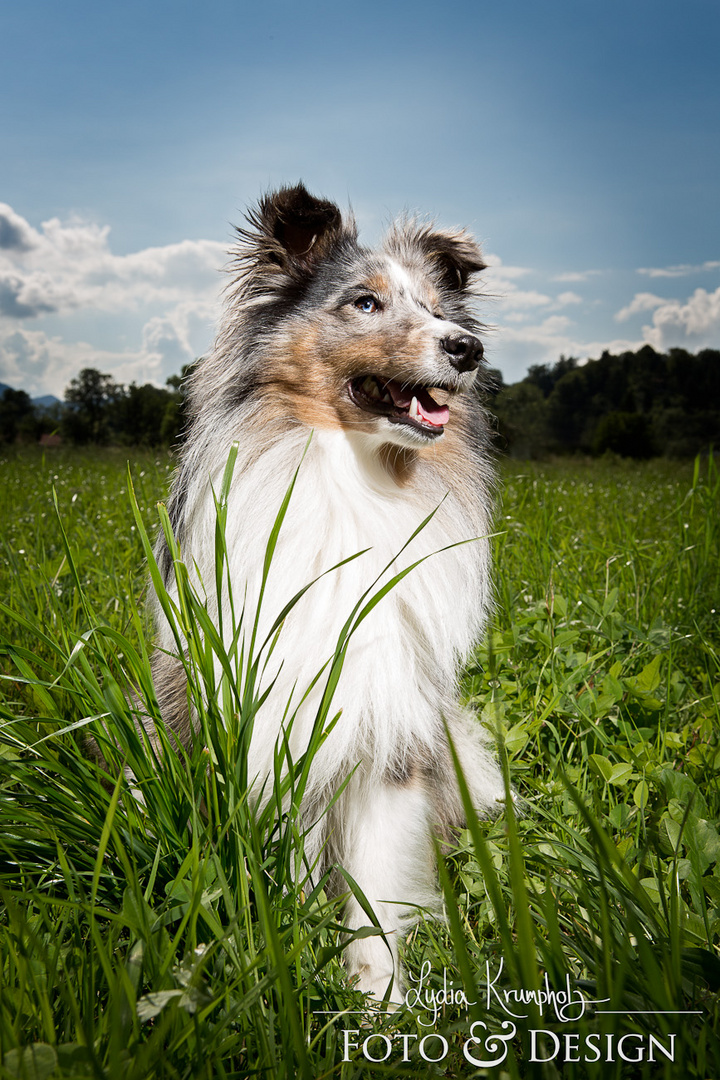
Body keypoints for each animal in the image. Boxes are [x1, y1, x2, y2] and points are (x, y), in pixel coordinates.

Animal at [148, 183, 505, 1002]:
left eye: (437, 307)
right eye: (365, 303)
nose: (466, 349)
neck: (355, 482)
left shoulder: (388, 725)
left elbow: (374, 889)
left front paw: (379, 1003)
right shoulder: (269, 721)